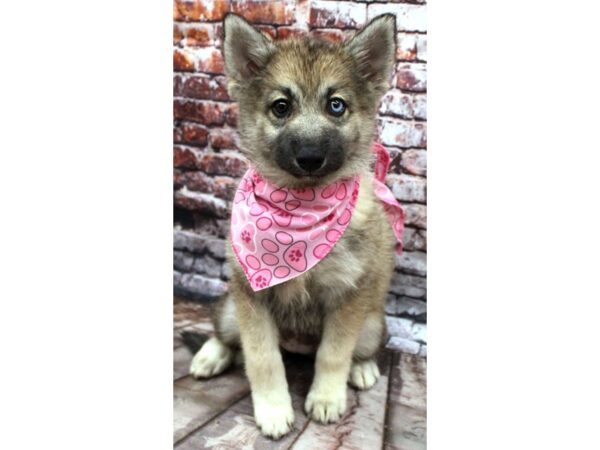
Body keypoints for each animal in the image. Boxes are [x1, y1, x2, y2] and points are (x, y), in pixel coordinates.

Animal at [190, 14, 400, 440]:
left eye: (336, 105)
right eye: (281, 107)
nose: (310, 157)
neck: (300, 212)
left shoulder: (347, 297)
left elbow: (334, 353)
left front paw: (326, 397)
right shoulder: (252, 300)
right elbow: (262, 357)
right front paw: (273, 410)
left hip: (373, 324)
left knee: (361, 349)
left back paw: (363, 368)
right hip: (232, 309)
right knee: (225, 333)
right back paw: (211, 355)